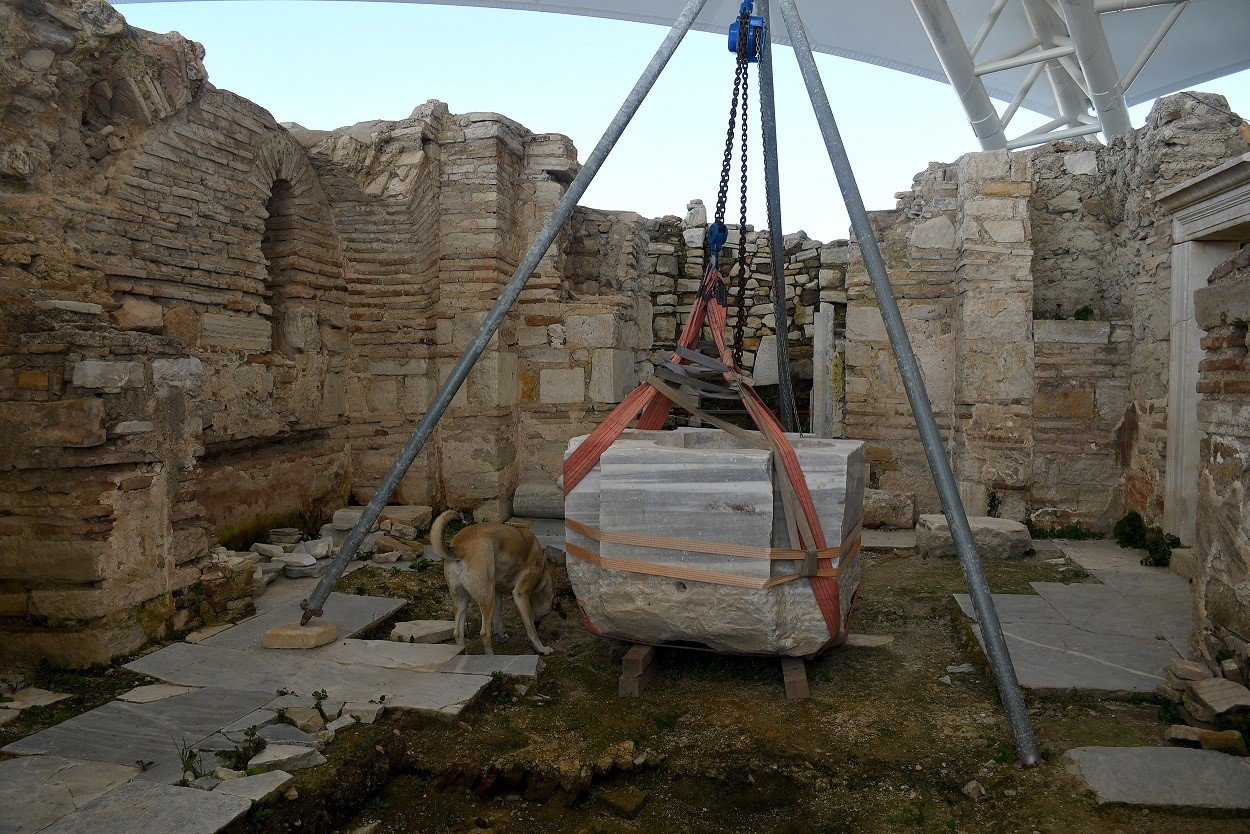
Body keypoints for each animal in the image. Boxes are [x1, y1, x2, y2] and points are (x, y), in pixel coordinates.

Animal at [435, 512, 557, 655]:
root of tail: (460, 548)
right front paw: (541, 648)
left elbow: (498, 620)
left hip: (462, 600)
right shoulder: (520, 595)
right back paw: (491, 656)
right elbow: (530, 629)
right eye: (547, 613)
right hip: (487, 598)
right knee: (484, 633)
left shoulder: (498, 592)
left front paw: (502, 637)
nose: (538, 625)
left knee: (458, 633)